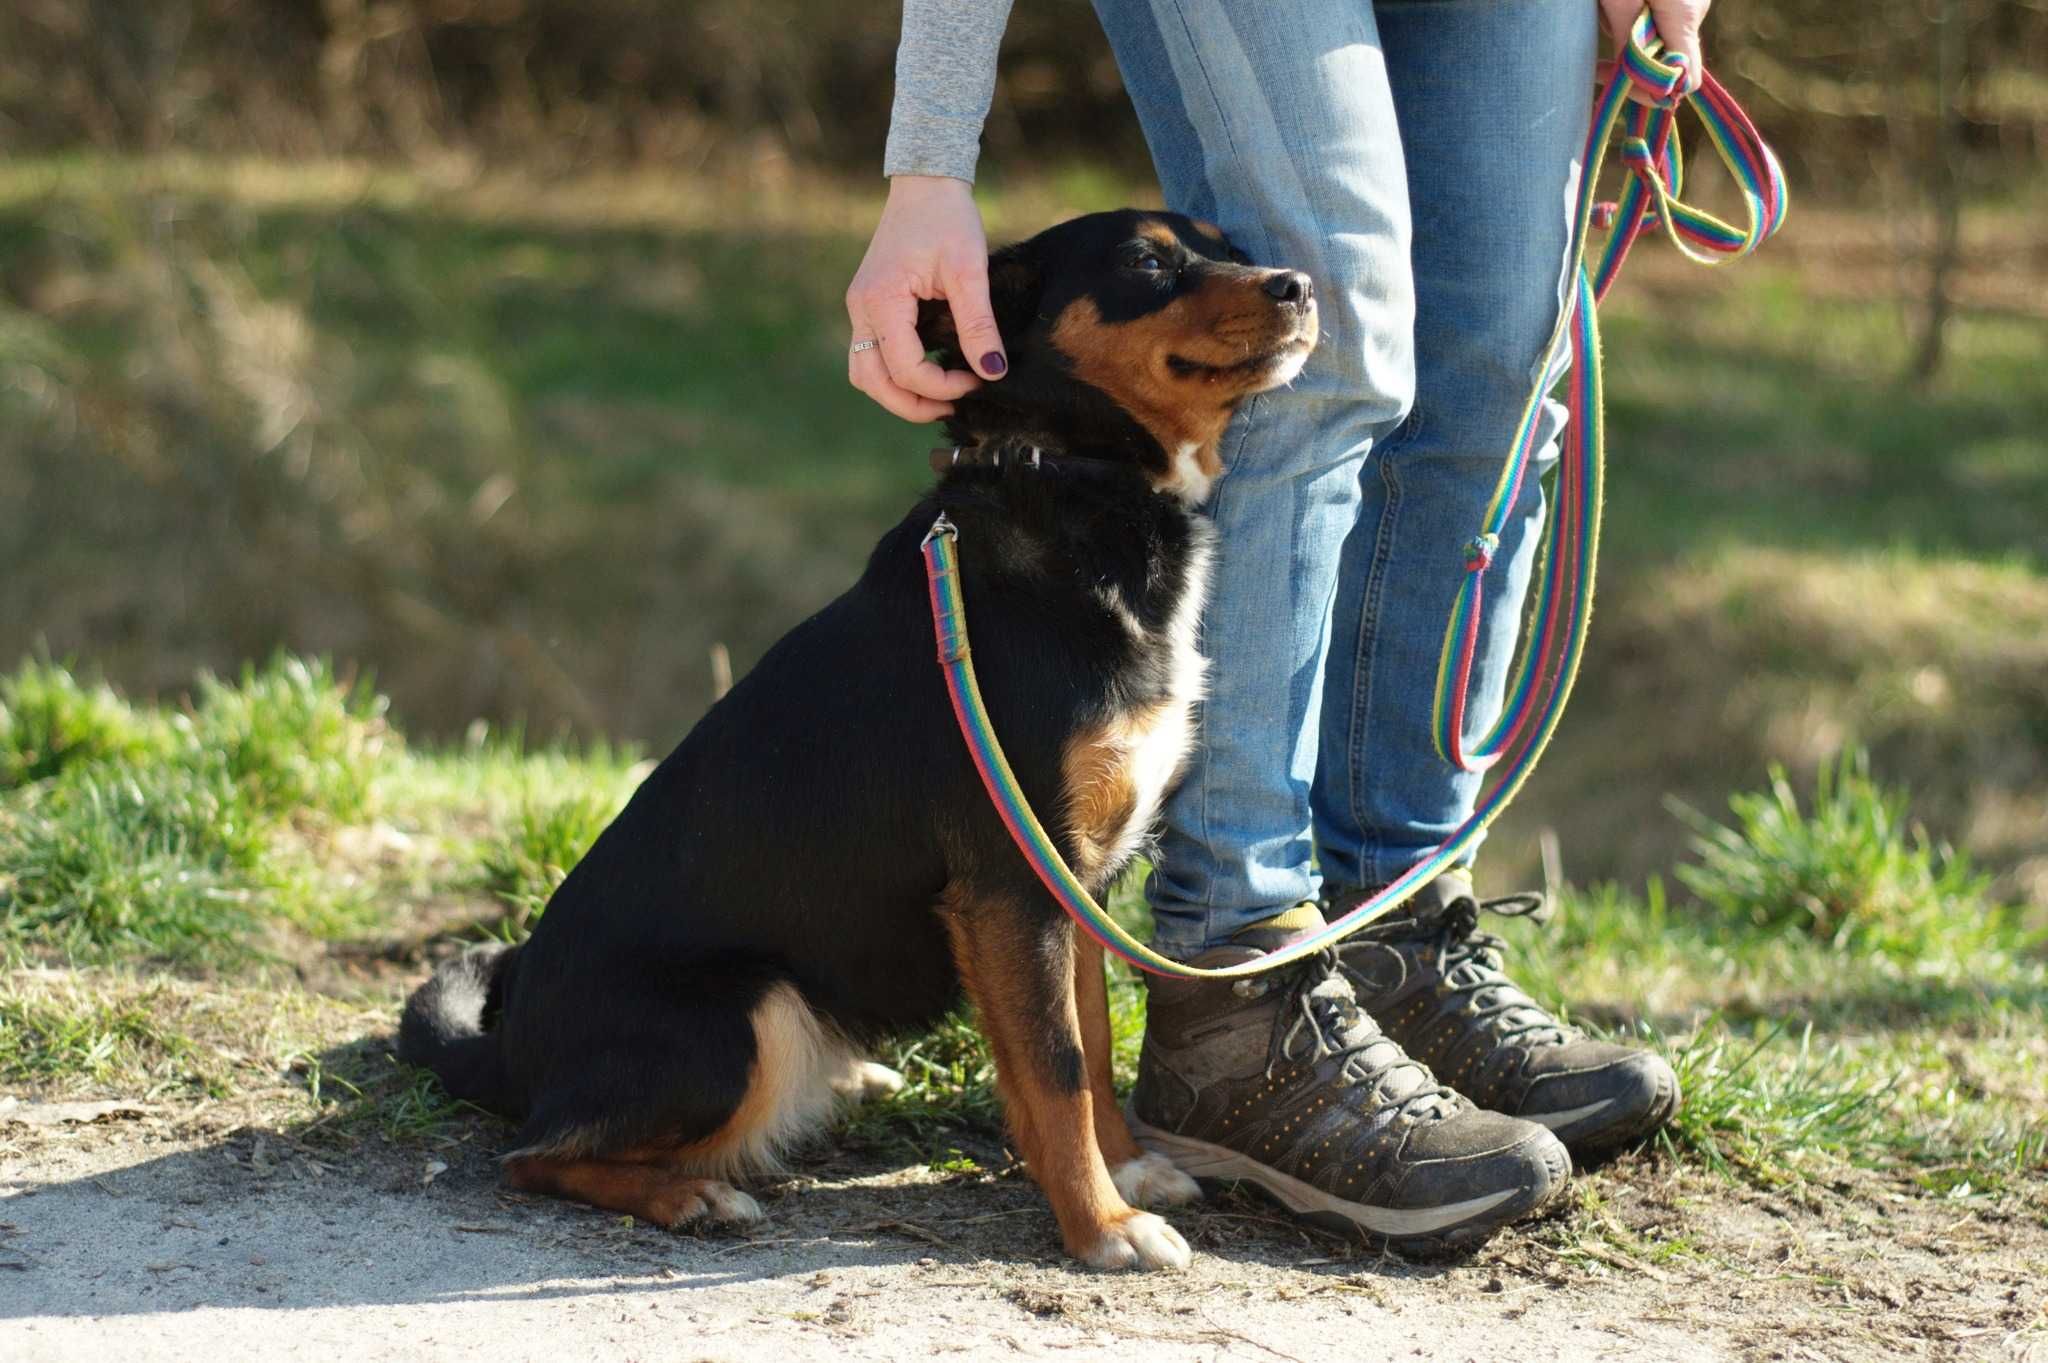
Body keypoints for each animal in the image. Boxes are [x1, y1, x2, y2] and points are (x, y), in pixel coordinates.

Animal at [401, 206, 1318, 1268]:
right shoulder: (1012, 882)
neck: (1071, 481)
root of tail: (509, 1050)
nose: (1299, 284)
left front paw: (1126, 1174)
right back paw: (692, 1194)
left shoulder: (1072, 884)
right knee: (534, 1155)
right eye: (1145, 262)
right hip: (746, 1015)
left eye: (1230, 245)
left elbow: (1089, 1048)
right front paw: (1104, 1225)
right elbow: (1055, 1065)